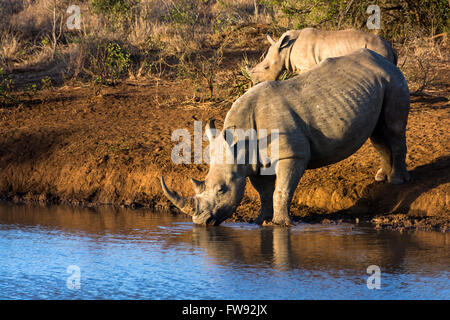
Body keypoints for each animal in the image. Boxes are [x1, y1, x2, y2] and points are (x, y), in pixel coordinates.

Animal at [163, 48, 412, 226]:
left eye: (221, 190)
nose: (200, 222)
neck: (240, 140)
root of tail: (386, 59)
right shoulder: (254, 162)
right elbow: (264, 193)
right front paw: (259, 221)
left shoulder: (292, 155)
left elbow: (282, 190)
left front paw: (281, 224)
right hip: (378, 83)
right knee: (377, 134)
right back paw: (382, 178)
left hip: (393, 78)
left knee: (393, 129)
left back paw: (397, 180)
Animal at [250, 27, 398, 85]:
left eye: (266, 67)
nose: (254, 82)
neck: (285, 50)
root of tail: (391, 48)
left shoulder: (308, 66)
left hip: (378, 49)